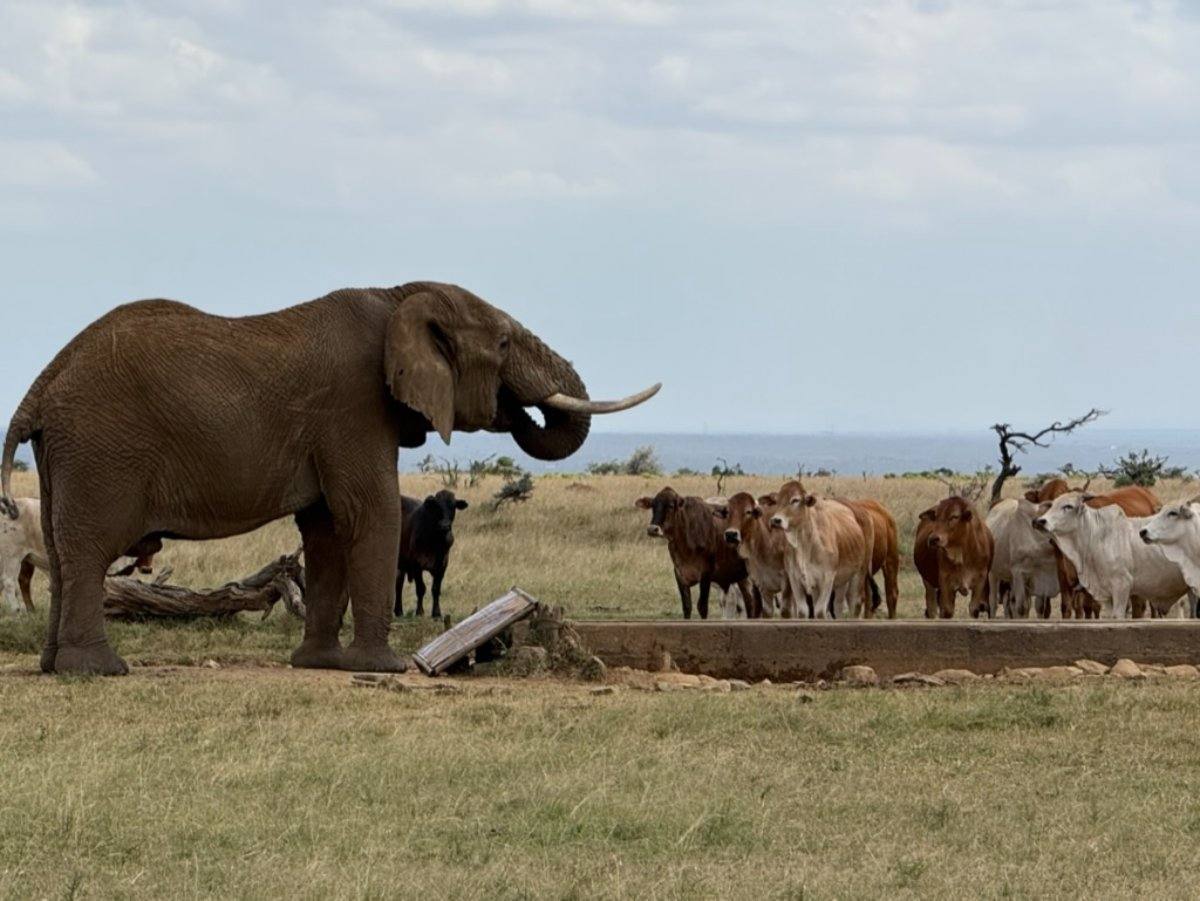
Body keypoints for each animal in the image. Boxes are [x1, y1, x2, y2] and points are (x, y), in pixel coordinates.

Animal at [395, 490, 468, 619]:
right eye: (437, 506)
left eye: (453, 506)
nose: (444, 525)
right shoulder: (416, 565)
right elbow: (421, 588)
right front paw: (419, 612)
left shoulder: (442, 565)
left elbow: (436, 589)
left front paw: (437, 613)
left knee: (399, 583)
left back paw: (399, 611)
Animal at [637, 487, 753, 619]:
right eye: (653, 505)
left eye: (671, 506)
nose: (652, 529)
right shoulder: (680, 575)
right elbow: (687, 606)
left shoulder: (706, 575)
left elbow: (702, 607)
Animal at [768, 481, 869, 620]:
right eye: (777, 500)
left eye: (795, 500)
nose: (776, 520)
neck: (805, 545)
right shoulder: (795, 579)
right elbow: (803, 611)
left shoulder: (827, 578)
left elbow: (820, 611)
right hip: (839, 582)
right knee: (838, 606)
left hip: (858, 574)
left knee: (855, 604)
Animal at [1034, 492, 1186, 618]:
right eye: (1052, 505)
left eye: (1068, 506)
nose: (1041, 521)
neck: (1096, 535)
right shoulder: (1107, 594)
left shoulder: (1122, 586)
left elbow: (1117, 616)